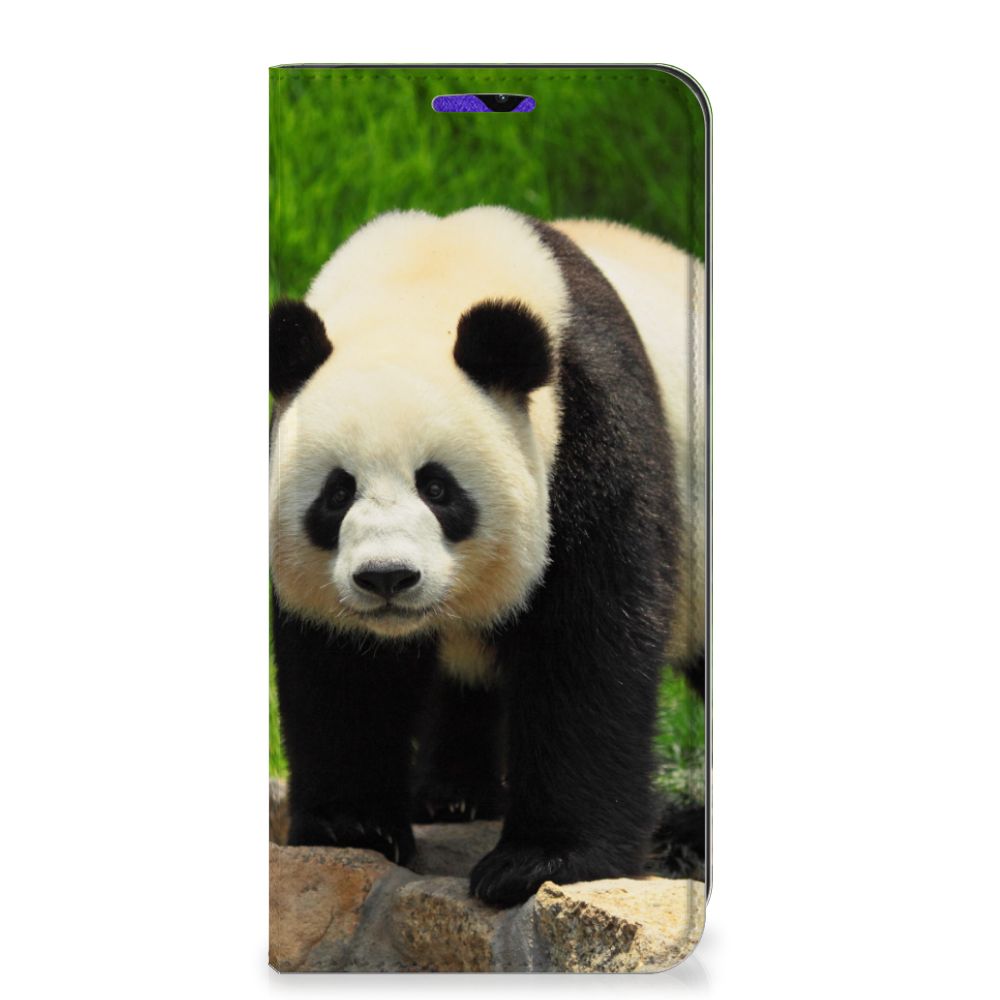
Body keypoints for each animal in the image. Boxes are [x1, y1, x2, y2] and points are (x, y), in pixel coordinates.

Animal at [269, 206, 706, 906]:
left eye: (438, 487)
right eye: (337, 493)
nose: (387, 578)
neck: (424, 280)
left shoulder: (591, 426)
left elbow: (588, 641)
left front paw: (541, 861)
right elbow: (341, 667)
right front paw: (351, 828)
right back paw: (452, 795)